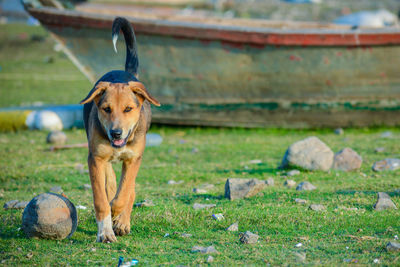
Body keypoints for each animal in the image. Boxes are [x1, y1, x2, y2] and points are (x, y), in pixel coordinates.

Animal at [79, 16, 159, 243]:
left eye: (128, 109)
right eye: (106, 109)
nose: (116, 133)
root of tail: (126, 73)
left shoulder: (133, 159)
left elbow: (124, 193)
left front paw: (117, 214)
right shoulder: (95, 158)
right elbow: (101, 198)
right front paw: (105, 231)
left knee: (128, 189)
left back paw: (122, 221)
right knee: (110, 181)